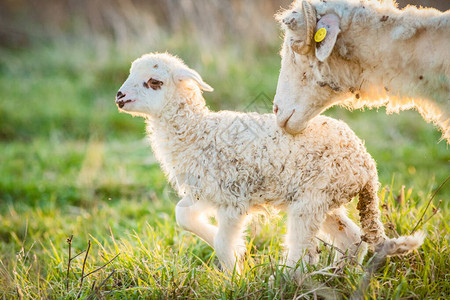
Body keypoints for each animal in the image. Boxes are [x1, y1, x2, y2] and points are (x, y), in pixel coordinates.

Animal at [114, 52, 424, 274]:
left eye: (154, 82)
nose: (119, 97)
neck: (197, 131)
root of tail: (367, 167)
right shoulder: (207, 192)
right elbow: (182, 215)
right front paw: (229, 252)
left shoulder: (234, 199)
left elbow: (223, 244)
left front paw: (235, 276)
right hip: (325, 199)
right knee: (352, 237)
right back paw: (339, 275)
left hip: (312, 199)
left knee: (301, 251)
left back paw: (285, 281)